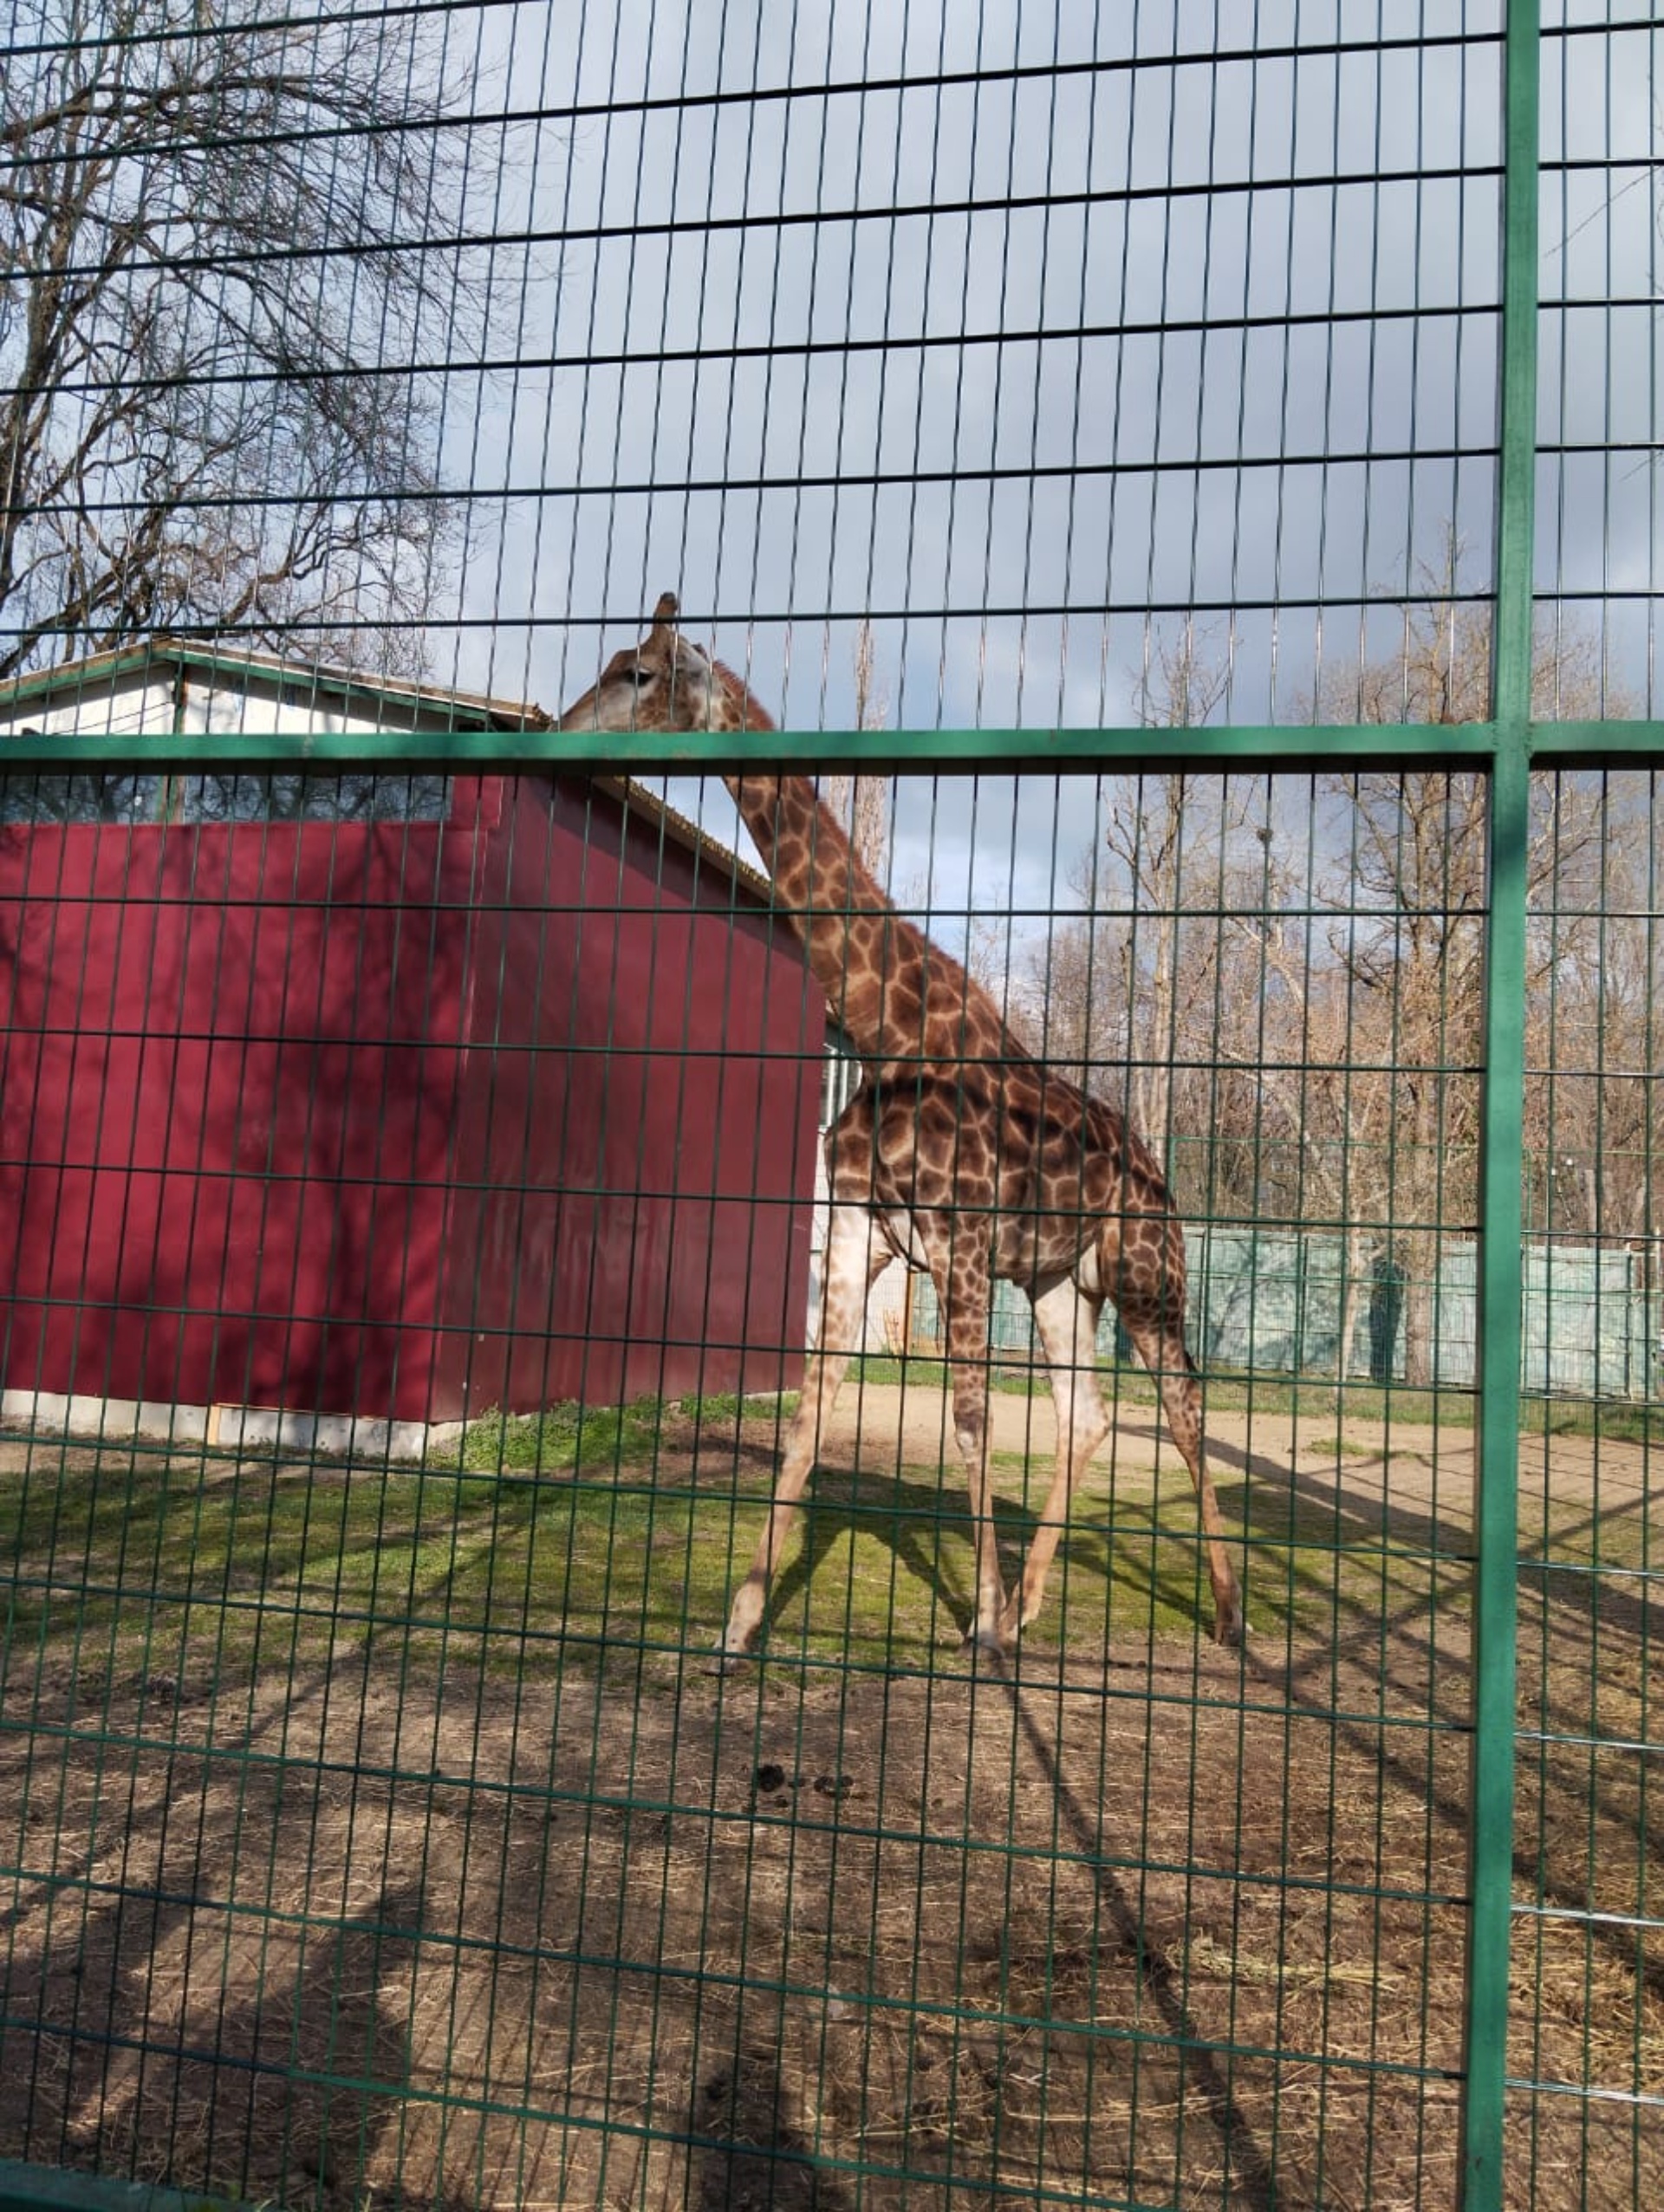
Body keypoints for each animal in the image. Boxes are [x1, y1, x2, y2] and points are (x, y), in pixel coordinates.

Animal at [562, 592, 1248, 1663]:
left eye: (637, 673)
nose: (561, 729)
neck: (888, 1033)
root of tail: (1159, 1176)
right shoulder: (857, 1229)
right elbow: (813, 1412)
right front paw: (741, 1621)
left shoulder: (958, 1241)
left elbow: (968, 1422)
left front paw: (981, 1627)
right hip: (1060, 1285)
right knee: (1087, 1415)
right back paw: (1037, 1600)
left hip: (1147, 1279)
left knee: (1182, 1405)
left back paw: (1224, 1614)